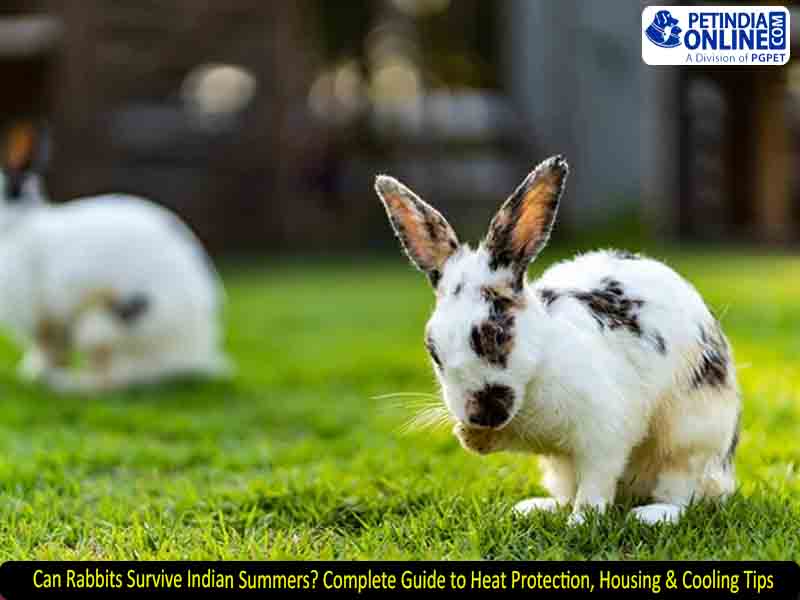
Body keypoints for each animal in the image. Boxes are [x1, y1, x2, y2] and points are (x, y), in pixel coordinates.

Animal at [0, 123, 231, 392]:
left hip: (100, 327)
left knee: (110, 381)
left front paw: (34, 375)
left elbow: (49, 350)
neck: (15, 226)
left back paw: (64, 384)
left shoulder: (45, 319)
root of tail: (187, 358)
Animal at [374, 155, 740, 525]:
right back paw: (533, 508)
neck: (534, 378)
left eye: (496, 334)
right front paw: (470, 438)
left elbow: (595, 484)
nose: (480, 415)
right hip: (560, 469)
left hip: (690, 440)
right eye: (433, 350)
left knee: (682, 492)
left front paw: (582, 522)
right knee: (565, 492)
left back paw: (650, 514)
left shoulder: (604, 435)